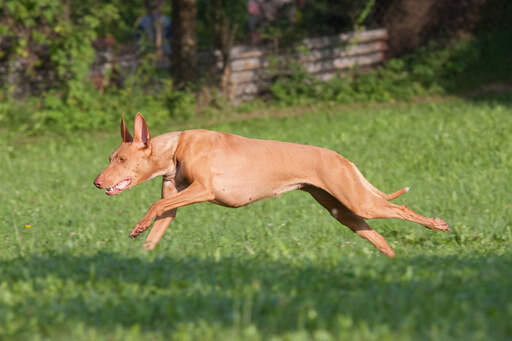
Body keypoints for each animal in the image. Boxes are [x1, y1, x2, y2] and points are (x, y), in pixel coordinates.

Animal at [94, 113, 450, 256]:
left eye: (121, 159)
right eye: (111, 157)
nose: (96, 183)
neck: (175, 148)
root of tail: (340, 157)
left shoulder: (204, 190)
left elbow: (155, 205)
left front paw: (138, 226)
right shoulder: (174, 206)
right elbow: (158, 223)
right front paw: (141, 251)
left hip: (360, 201)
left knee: (400, 208)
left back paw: (438, 225)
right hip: (343, 211)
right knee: (378, 238)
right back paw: (394, 260)